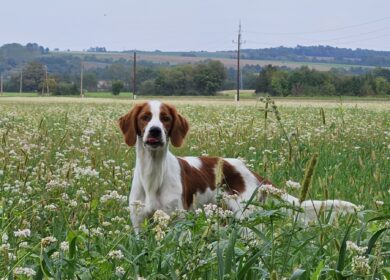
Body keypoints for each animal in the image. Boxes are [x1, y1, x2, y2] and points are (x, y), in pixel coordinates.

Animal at [116, 99, 356, 231]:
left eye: (165, 118)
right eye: (145, 117)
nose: (155, 131)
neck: (154, 174)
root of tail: (253, 173)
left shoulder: (178, 222)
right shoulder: (139, 225)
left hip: (245, 217)